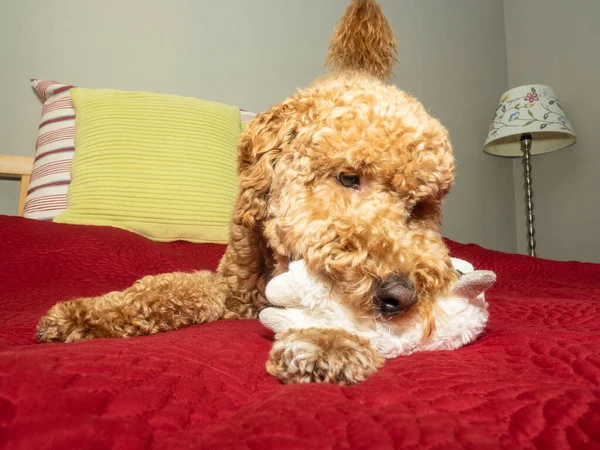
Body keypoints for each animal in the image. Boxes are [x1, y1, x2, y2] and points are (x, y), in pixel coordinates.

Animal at [37, 0, 458, 386]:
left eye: (419, 207)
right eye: (348, 177)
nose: (400, 295)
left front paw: (328, 342)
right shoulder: (229, 286)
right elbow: (159, 289)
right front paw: (85, 314)